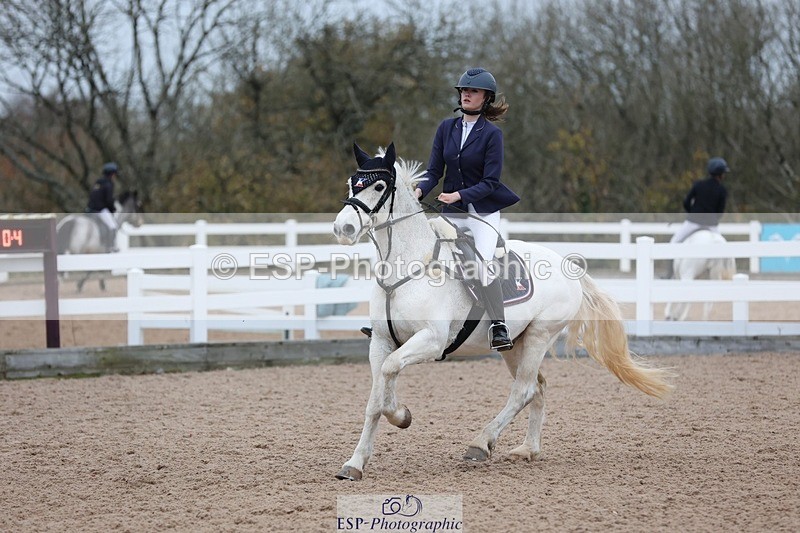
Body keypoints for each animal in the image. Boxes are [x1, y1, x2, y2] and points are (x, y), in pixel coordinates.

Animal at [332, 143, 674, 481]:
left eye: (378, 186)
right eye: (350, 183)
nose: (342, 228)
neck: (408, 267)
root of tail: (568, 266)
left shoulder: (431, 340)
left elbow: (389, 373)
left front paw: (401, 415)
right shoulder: (381, 342)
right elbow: (375, 397)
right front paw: (356, 462)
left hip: (539, 336)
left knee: (523, 390)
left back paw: (481, 444)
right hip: (514, 345)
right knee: (538, 387)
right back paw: (527, 449)